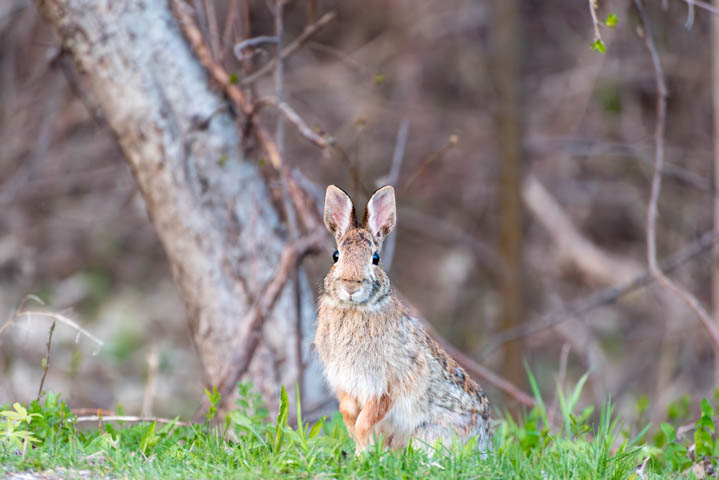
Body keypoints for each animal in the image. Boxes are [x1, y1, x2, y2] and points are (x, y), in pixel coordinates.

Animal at [316, 184, 490, 454]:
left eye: (375, 259)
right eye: (336, 255)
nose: (351, 285)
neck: (356, 308)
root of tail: (484, 441)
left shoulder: (387, 383)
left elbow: (365, 421)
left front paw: (363, 455)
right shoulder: (346, 384)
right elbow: (349, 418)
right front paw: (360, 452)